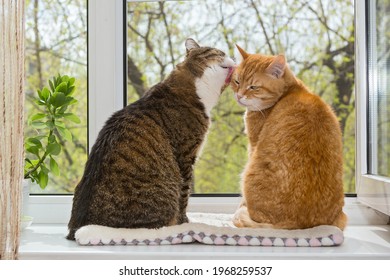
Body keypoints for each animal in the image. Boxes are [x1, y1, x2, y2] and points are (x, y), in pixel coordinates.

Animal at [66, 38, 235, 240]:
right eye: (219, 52)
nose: (234, 59)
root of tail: (78, 229)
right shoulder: (186, 155)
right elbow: (185, 195)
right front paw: (184, 222)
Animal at [230, 45, 346, 230]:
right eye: (237, 81)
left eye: (254, 87)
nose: (239, 96)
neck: (290, 90)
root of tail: (298, 225)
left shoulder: (253, 145)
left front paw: (242, 205)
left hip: (250, 171)